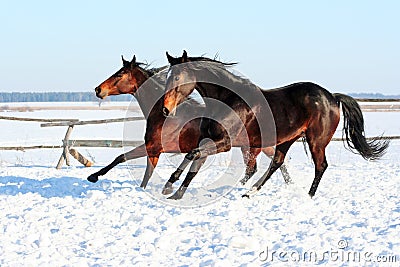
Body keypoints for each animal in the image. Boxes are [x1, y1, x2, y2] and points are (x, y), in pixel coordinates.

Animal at [87, 54, 290, 188]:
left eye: (119, 74)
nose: (98, 90)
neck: (164, 115)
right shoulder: (154, 151)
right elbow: (137, 169)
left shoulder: (154, 147)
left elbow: (124, 160)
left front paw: (93, 176)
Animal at [161, 51, 390, 200]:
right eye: (168, 77)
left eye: (178, 76)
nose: (165, 109)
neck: (227, 99)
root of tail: (332, 97)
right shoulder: (210, 139)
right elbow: (193, 159)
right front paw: (172, 190)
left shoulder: (225, 143)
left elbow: (193, 155)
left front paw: (172, 189)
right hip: (287, 139)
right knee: (275, 163)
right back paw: (249, 192)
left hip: (316, 141)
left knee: (320, 166)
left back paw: (308, 196)